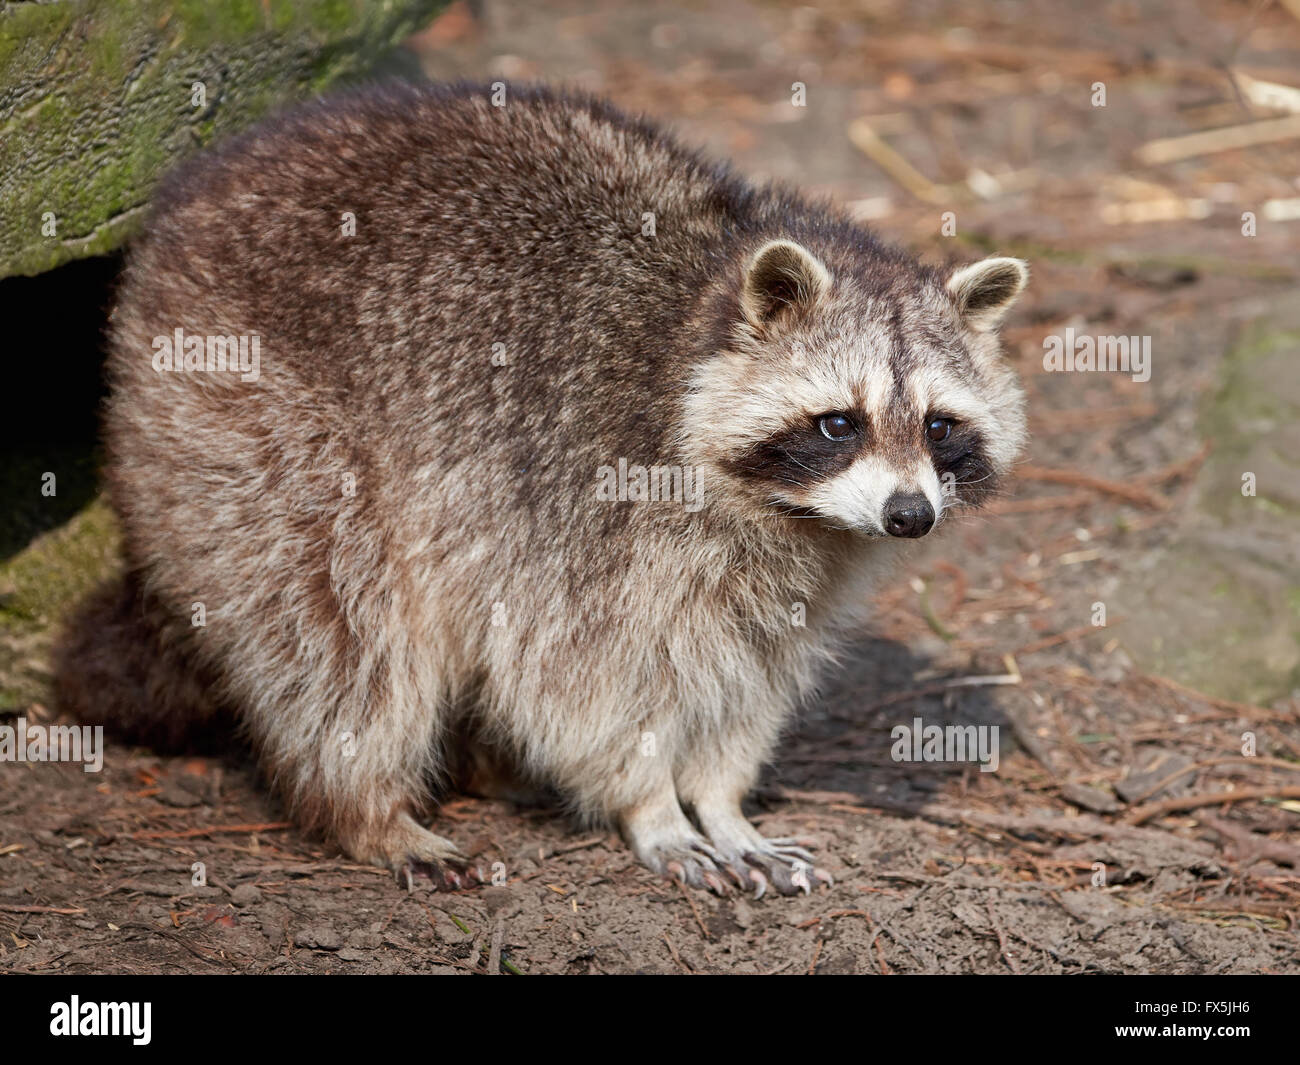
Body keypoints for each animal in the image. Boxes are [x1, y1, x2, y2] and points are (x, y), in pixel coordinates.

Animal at [61, 85, 1024, 899]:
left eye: (939, 426)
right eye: (839, 423)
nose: (910, 516)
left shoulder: (802, 563)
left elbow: (752, 671)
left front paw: (720, 797)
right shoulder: (578, 493)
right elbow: (572, 678)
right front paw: (652, 803)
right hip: (245, 417)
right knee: (336, 626)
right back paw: (366, 804)